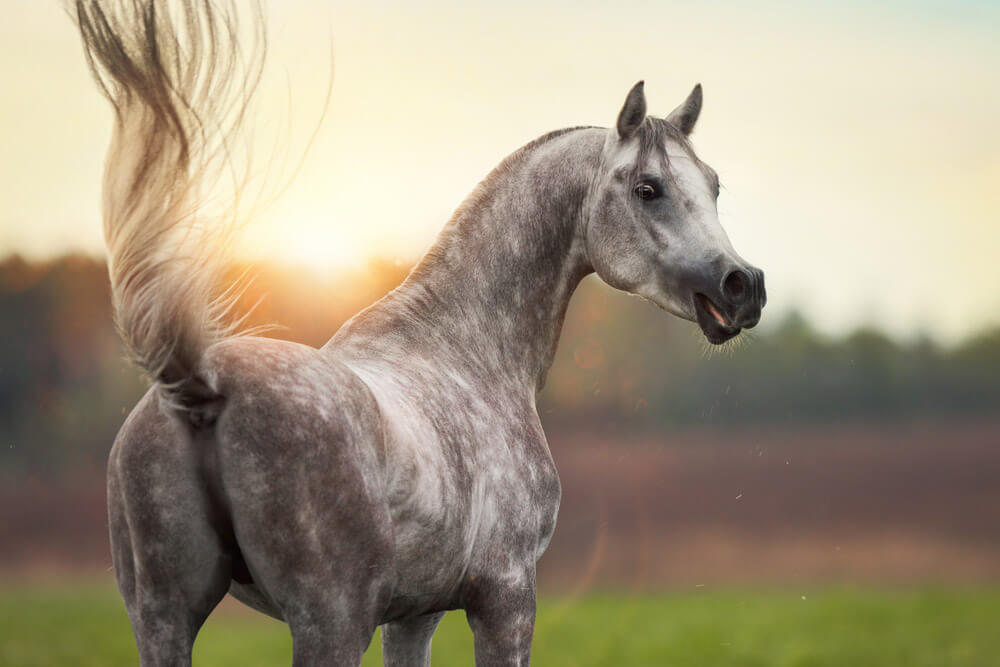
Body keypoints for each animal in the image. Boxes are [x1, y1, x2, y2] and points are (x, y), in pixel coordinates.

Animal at [74, 0, 760, 664]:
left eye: (714, 185)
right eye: (648, 189)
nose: (743, 285)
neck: (466, 349)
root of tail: (202, 388)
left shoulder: (414, 615)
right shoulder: (505, 600)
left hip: (163, 619)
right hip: (330, 624)